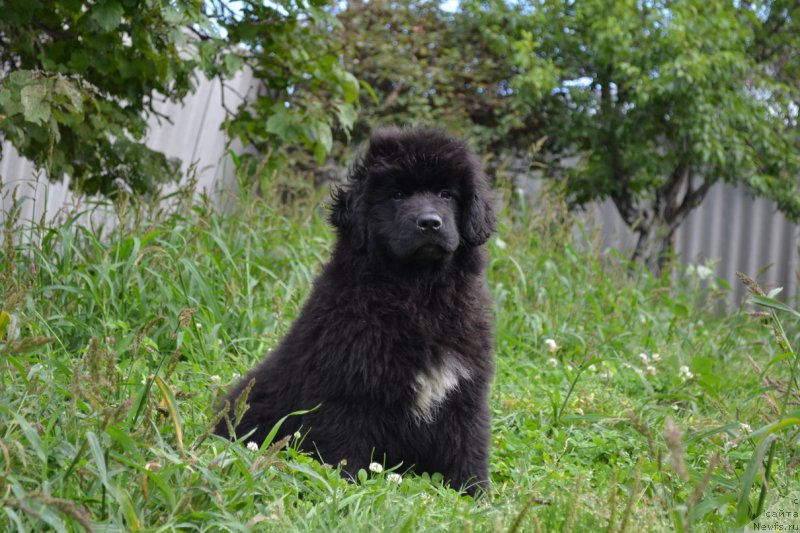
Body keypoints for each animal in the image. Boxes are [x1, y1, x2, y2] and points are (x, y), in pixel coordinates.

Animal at [216, 125, 496, 494]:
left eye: (446, 194)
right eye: (397, 195)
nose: (429, 223)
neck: (419, 292)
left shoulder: (465, 389)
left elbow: (468, 442)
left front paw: (475, 493)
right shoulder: (347, 385)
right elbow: (343, 444)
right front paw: (344, 488)